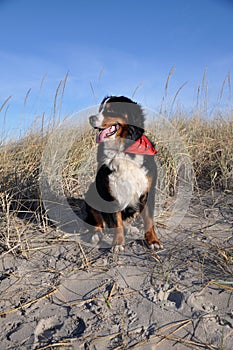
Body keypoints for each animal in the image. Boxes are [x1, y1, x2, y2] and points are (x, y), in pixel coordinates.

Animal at [84, 95, 163, 252]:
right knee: (98, 221)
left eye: (110, 110)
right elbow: (117, 220)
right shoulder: (112, 190)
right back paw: (96, 235)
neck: (124, 149)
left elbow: (149, 219)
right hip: (92, 192)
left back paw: (131, 229)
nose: (91, 118)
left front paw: (153, 240)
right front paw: (118, 243)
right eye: (100, 109)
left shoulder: (148, 190)